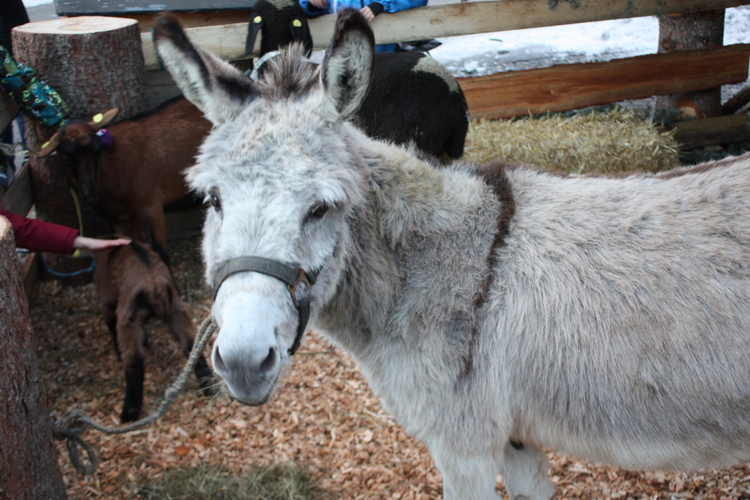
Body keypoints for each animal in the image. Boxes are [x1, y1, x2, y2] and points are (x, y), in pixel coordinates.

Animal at [39, 97, 212, 253]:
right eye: (66, 157)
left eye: (97, 152)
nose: (91, 195)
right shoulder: (116, 219)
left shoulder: (152, 206)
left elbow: (160, 251)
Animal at [92, 240, 212, 422]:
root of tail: (156, 287)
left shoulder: (107, 300)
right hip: (176, 310)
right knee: (192, 346)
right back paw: (209, 387)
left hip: (129, 319)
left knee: (135, 361)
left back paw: (129, 413)